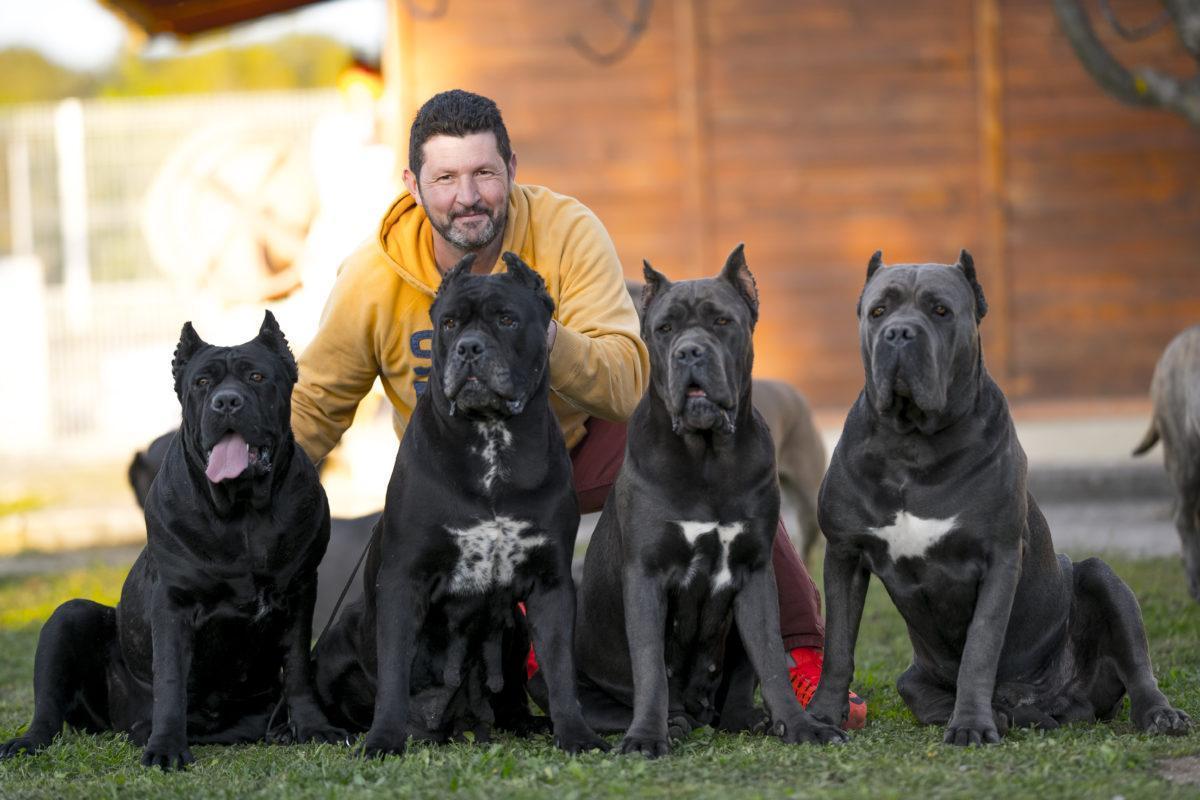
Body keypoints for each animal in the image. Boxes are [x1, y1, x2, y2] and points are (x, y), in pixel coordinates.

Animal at [0, 311, 348, 767]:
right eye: (202, 383)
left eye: (256, 377)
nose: (227, 402)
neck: (242, 513)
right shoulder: (173, 602)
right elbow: (169, 678)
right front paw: (166, 746)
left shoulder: (300, 590)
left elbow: (298, 669)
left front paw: (312, 727)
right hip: (68, 617)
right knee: (48, 709)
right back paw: (36, 740)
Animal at [312, 253, 604, 762]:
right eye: (448, 323)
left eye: (507, 319)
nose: (469, 348)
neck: (491, 440)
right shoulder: (403, 579)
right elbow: (393, 674)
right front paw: (382, 740)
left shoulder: (550, 584)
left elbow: (561, 671)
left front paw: (577, 735)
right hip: (334, 643)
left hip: (515, 628)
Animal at [571, 247, 844, 762]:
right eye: (664, 329)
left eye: (721, 321)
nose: (690, 352)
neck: (707, 457)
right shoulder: (646, 576)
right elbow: (650, 668)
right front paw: (646, 736)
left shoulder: (755, 573)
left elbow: (770, 660)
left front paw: (801, 726)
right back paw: (672, 722)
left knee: (737, 689)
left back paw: (746, 719)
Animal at [806, 250, 1190, 743]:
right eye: (878, 312)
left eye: (940, 310)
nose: (899, 333)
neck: (913, 445)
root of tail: (1046, 698)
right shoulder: (844, 554)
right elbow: (838, 646)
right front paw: (820, 717)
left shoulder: (999, 558)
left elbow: (980, 647)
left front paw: (970, 725)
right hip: (913, 677)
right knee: (924, 692)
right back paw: (1009, 715)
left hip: (1102, 578)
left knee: (1138, 668)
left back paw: (1159, 714)